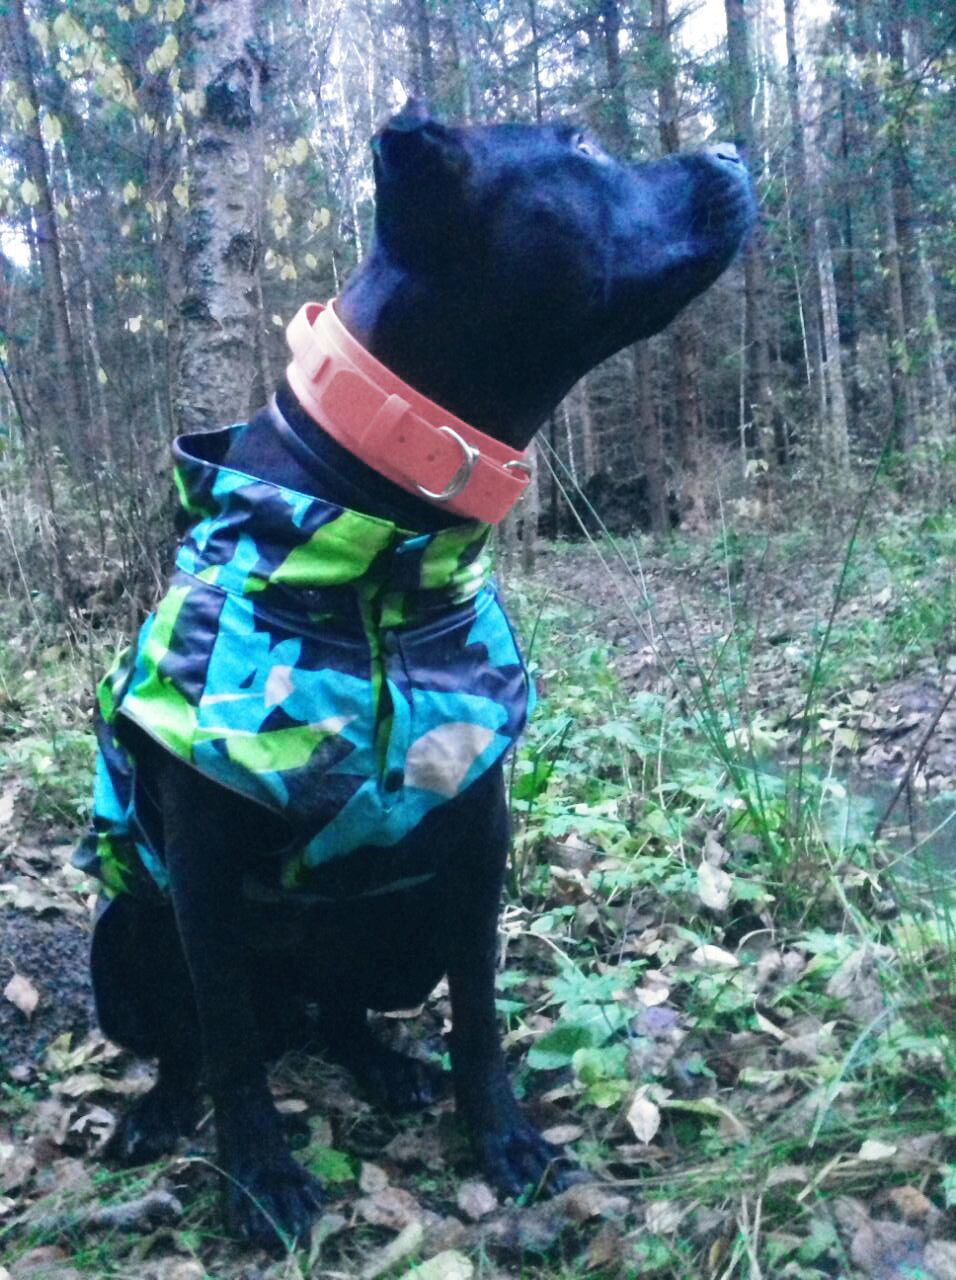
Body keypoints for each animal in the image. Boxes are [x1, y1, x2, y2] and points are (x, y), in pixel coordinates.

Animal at [80, 104, 757, 1244]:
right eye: (578, 147)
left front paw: (502, 1136)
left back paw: (385, 1066)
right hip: (123, 932)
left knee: (343, 1012)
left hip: (395, 927)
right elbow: (226, 1042)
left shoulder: (474, 838)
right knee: (197, 1037)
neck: (379, 530)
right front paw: (259, 1176)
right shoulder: (203, 866)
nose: (733, 151)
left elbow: (478, 1012)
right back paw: (162, 1108)